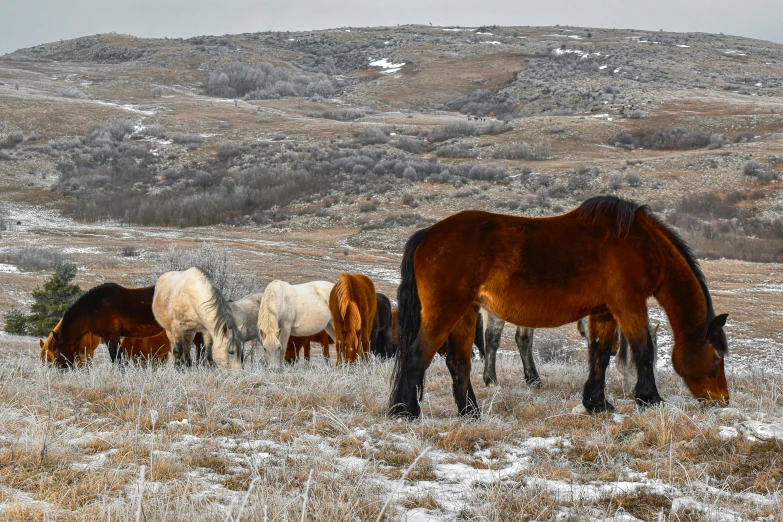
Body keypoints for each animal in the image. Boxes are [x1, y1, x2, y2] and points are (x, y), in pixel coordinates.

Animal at [396, 195, 732, 418]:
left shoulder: (604, 311)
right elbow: (643, 349)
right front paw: (650, 398)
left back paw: (470, 412)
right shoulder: (629, 304)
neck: (642, 243)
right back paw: (406, 411)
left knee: (458, 362)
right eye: (717, 357)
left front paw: (597, 403)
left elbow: (600, 354)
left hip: (465, 312)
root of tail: (428, 234)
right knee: (417, 355)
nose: (723, 400)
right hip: (446, 310)